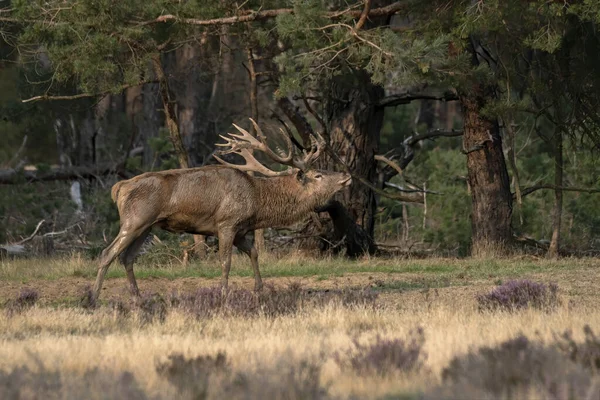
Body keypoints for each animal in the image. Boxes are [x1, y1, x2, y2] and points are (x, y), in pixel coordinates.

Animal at [89, 120, 352, 304]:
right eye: (318, 175)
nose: (346, 176)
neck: (257, 205)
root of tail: (119, 187)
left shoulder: (241, 230)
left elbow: (254, 252)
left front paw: (259, 289)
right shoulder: (226, 223)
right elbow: (225, 261)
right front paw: (224, 294)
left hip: (146, 226)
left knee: (127, 257)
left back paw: (137, 297)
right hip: (134, 220)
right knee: (107, 253)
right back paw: (94, 297)